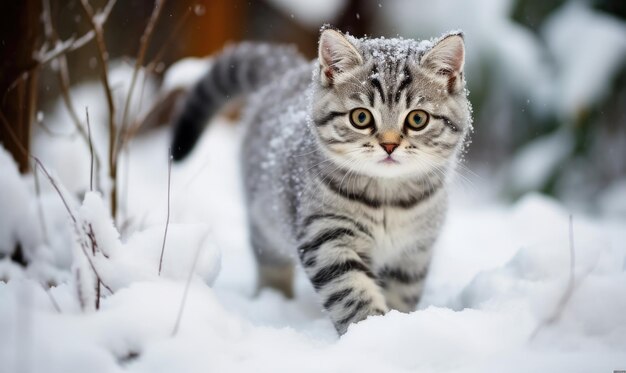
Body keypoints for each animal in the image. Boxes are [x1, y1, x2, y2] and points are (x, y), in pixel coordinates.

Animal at [168, 26, 470, 334]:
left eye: (417, 119)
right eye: (361, 117)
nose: (389, 145)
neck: (387, 197)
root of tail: (287, 74)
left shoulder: (414, 250)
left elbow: (402, 294)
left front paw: (398, 326)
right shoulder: (326, 235)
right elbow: (351, 294)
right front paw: (370, 331)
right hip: (265, 217)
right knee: (269, 259)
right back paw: (276, 300)